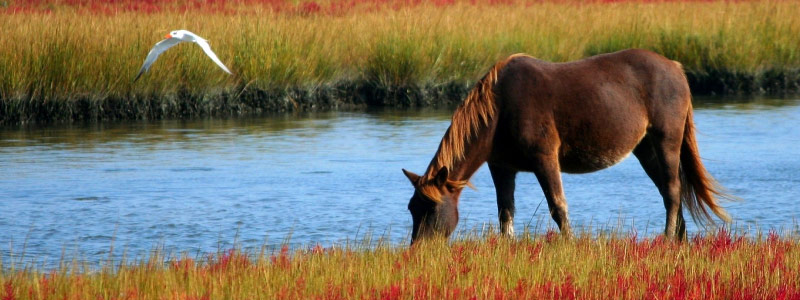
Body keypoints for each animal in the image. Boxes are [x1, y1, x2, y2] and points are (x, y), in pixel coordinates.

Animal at [406, 47, 732, 244]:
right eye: (412, 208)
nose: (418, 250)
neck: (499, 109)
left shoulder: (545, 159)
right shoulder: (502, 167)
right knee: (668, 191)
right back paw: (678, 240)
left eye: (431, 208)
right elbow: (505, 212)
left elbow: (558, 207)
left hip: (666, 140)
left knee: (673, 191)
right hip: (646, 149)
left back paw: (666, 240)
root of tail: (676, 68)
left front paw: (569, 244)